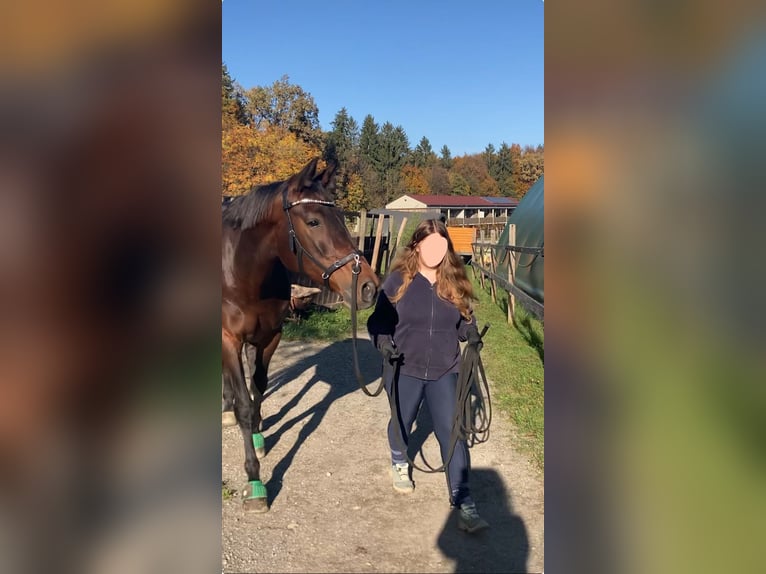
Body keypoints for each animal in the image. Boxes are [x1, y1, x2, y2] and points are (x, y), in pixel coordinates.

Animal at [220, 158, 380, 512]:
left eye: (342, 218)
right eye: (313, 221)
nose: (368, 287)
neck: (242, 273)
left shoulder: (271, 336)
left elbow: (259, 388)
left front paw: (258, 436)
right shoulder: (228, 339)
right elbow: (244, 405)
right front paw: (255, 481)